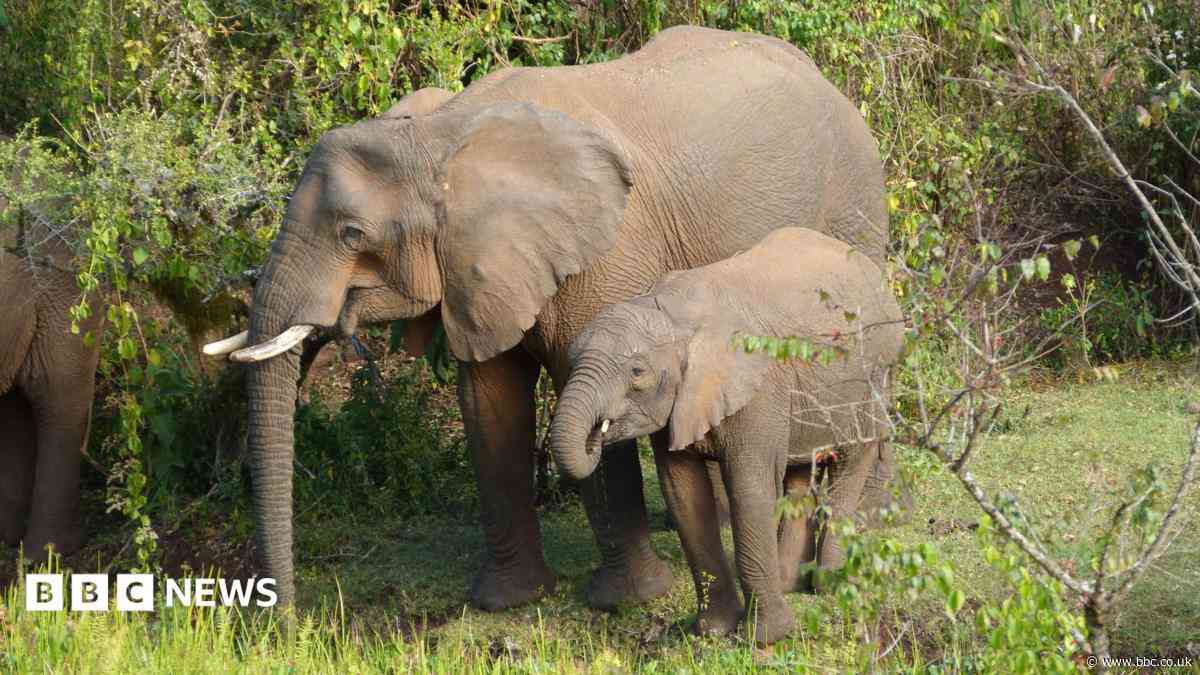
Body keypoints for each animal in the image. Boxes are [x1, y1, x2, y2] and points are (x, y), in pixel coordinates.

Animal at [203, 25, 890, 610]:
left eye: (352, 234)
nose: (283, 619)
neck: (441, 135)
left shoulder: (607, 252)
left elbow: (582, 388)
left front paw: (624, 601)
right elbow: (489, 400)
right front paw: (507, 600)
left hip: (856, 208)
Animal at [549, 228, 905, 643]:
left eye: (637, 372)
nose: (597, 434)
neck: (672, 313)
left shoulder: (758, 388)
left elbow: (750, 489)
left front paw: (765, 637)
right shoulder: (682, 403)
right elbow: (684, 493)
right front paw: (711, 631)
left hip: (872, 374)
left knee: (849, 464)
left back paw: (829, 585)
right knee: (798, 473)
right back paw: (790, 585)